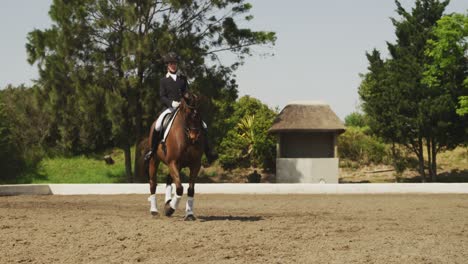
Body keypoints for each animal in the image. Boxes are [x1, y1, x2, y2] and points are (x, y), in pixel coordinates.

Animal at [146, 92, 205, 221]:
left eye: (200, 114)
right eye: (187, 114)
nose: (194, 137)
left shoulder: (195, 165)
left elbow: (190, 189)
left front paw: (189, 214)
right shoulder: (173, 162)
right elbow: (179, 188)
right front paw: (170, 209)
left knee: (169, 179)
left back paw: (168, 201)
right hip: (154, 160)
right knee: (153, 183)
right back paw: (154, 211)